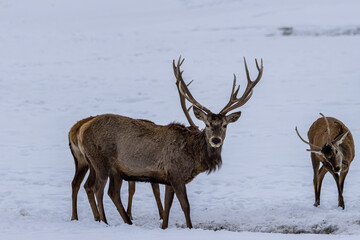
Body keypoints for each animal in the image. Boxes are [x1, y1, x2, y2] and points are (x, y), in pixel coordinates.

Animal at [71, 56, 262, 229]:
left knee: (108, 191)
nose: (215, 139)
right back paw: (105, 222)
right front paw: (190, 228)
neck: (194, 157)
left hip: (110, 168)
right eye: (207, 124)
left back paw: (124, 221)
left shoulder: (169, 178)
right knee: (98, 189)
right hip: (100, 161)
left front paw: (164, 227)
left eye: (224, 125)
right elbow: (186, 206)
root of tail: (81, 130)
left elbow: (168, 206)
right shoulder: (176, 172)